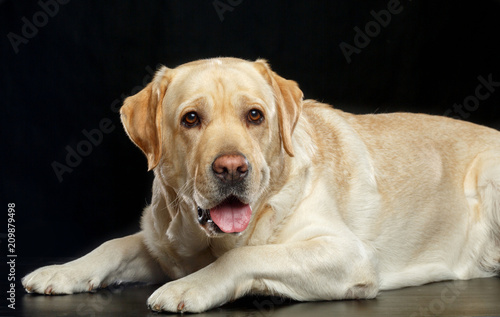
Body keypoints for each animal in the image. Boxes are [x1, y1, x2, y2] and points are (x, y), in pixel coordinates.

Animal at [23, 56, 500, 312]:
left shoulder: (349, 255)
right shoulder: (163, 241)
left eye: (255, 115)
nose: (233, 168)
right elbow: (115, 245)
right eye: (191, 118)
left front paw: (187, 287)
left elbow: (245, 258)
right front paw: (63, 271)